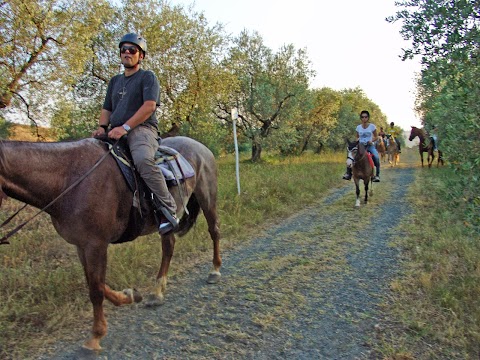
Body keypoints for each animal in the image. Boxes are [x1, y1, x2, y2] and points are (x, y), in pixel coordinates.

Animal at [0, 137, 221, 352]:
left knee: (214, 231)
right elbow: (95, 283)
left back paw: (215, 271)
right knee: (168, 248)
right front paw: (129, 296)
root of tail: (199, 146)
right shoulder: (82, 246)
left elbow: (96, 289)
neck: (68, 180)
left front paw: (95, 336)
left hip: (207, 197)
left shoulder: (96, 244)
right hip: (166, 223)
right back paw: (157, 292)